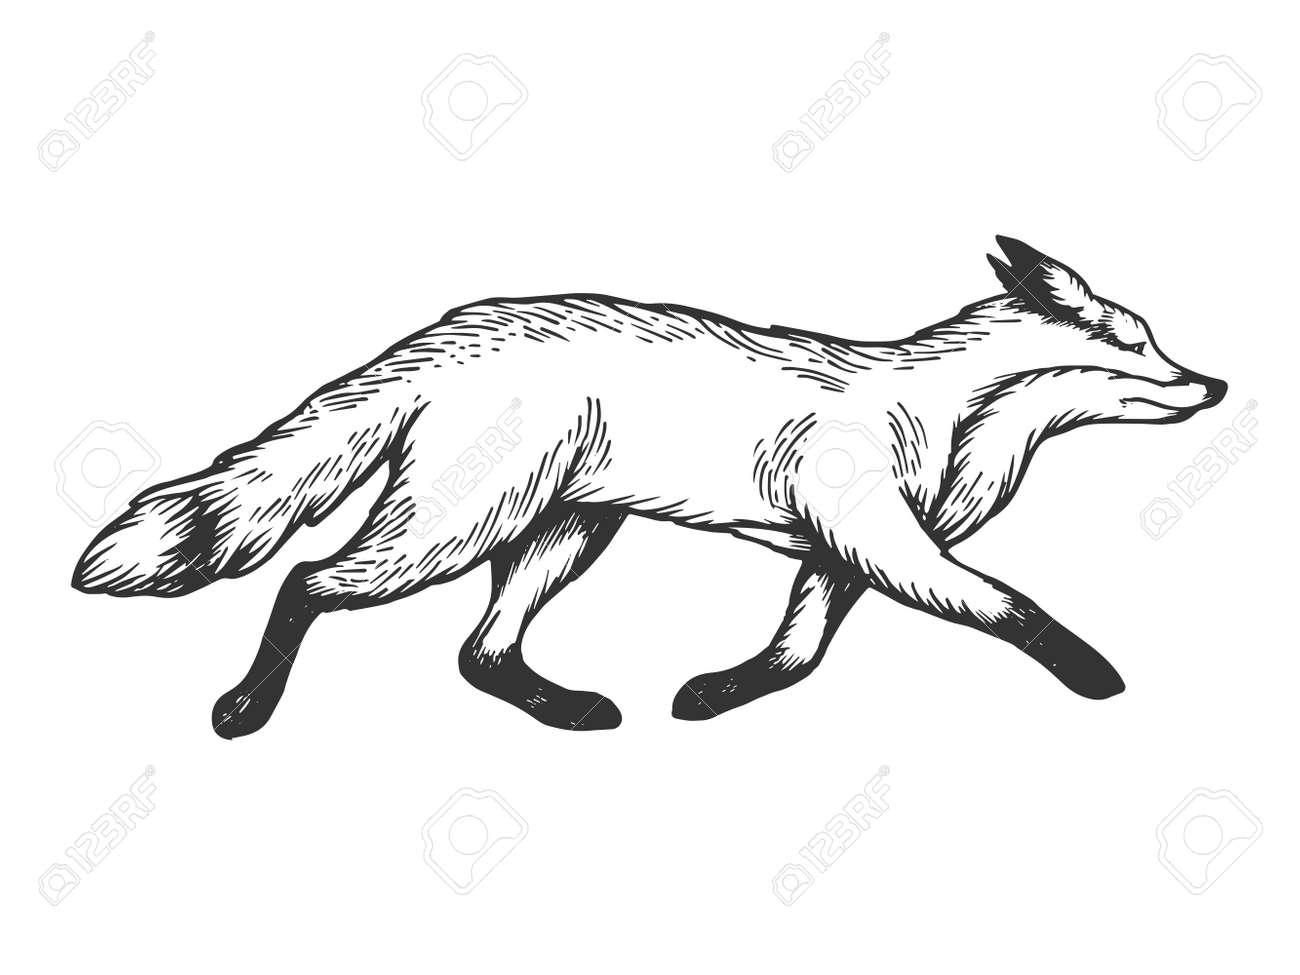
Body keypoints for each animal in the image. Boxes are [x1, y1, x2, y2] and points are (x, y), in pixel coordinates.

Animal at [72, 237, 1226, 739]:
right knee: (309, 581)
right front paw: (1090, 672)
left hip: (562, 534)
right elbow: (1011, 605)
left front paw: (721, 695)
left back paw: (558, 707)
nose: (1213, 384)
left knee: (480, 652)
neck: (951, 422)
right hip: (451, 530)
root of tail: (448, 331)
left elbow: (796, 654)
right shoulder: (881, 540)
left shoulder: (840, 553)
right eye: (1138, 346)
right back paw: (246, 705)